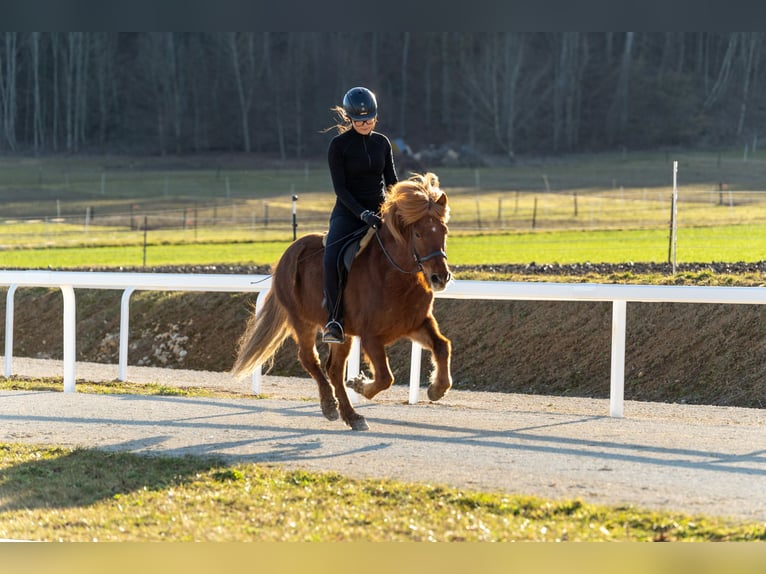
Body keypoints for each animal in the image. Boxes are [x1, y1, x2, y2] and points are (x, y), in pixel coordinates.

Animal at [231, 172, 453, 431]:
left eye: (444, 231)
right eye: (418, 234)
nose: (440, 277)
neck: (395, 275)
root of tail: (288, 254)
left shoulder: (416, 324)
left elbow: (442, 345)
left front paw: (437, 389)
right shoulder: (371, 337)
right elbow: (385, 377)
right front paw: (359, 384)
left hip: (342, 334)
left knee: (334, 369)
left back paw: (352, 416)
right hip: (302, 321)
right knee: (310, 359)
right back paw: (329, 406)